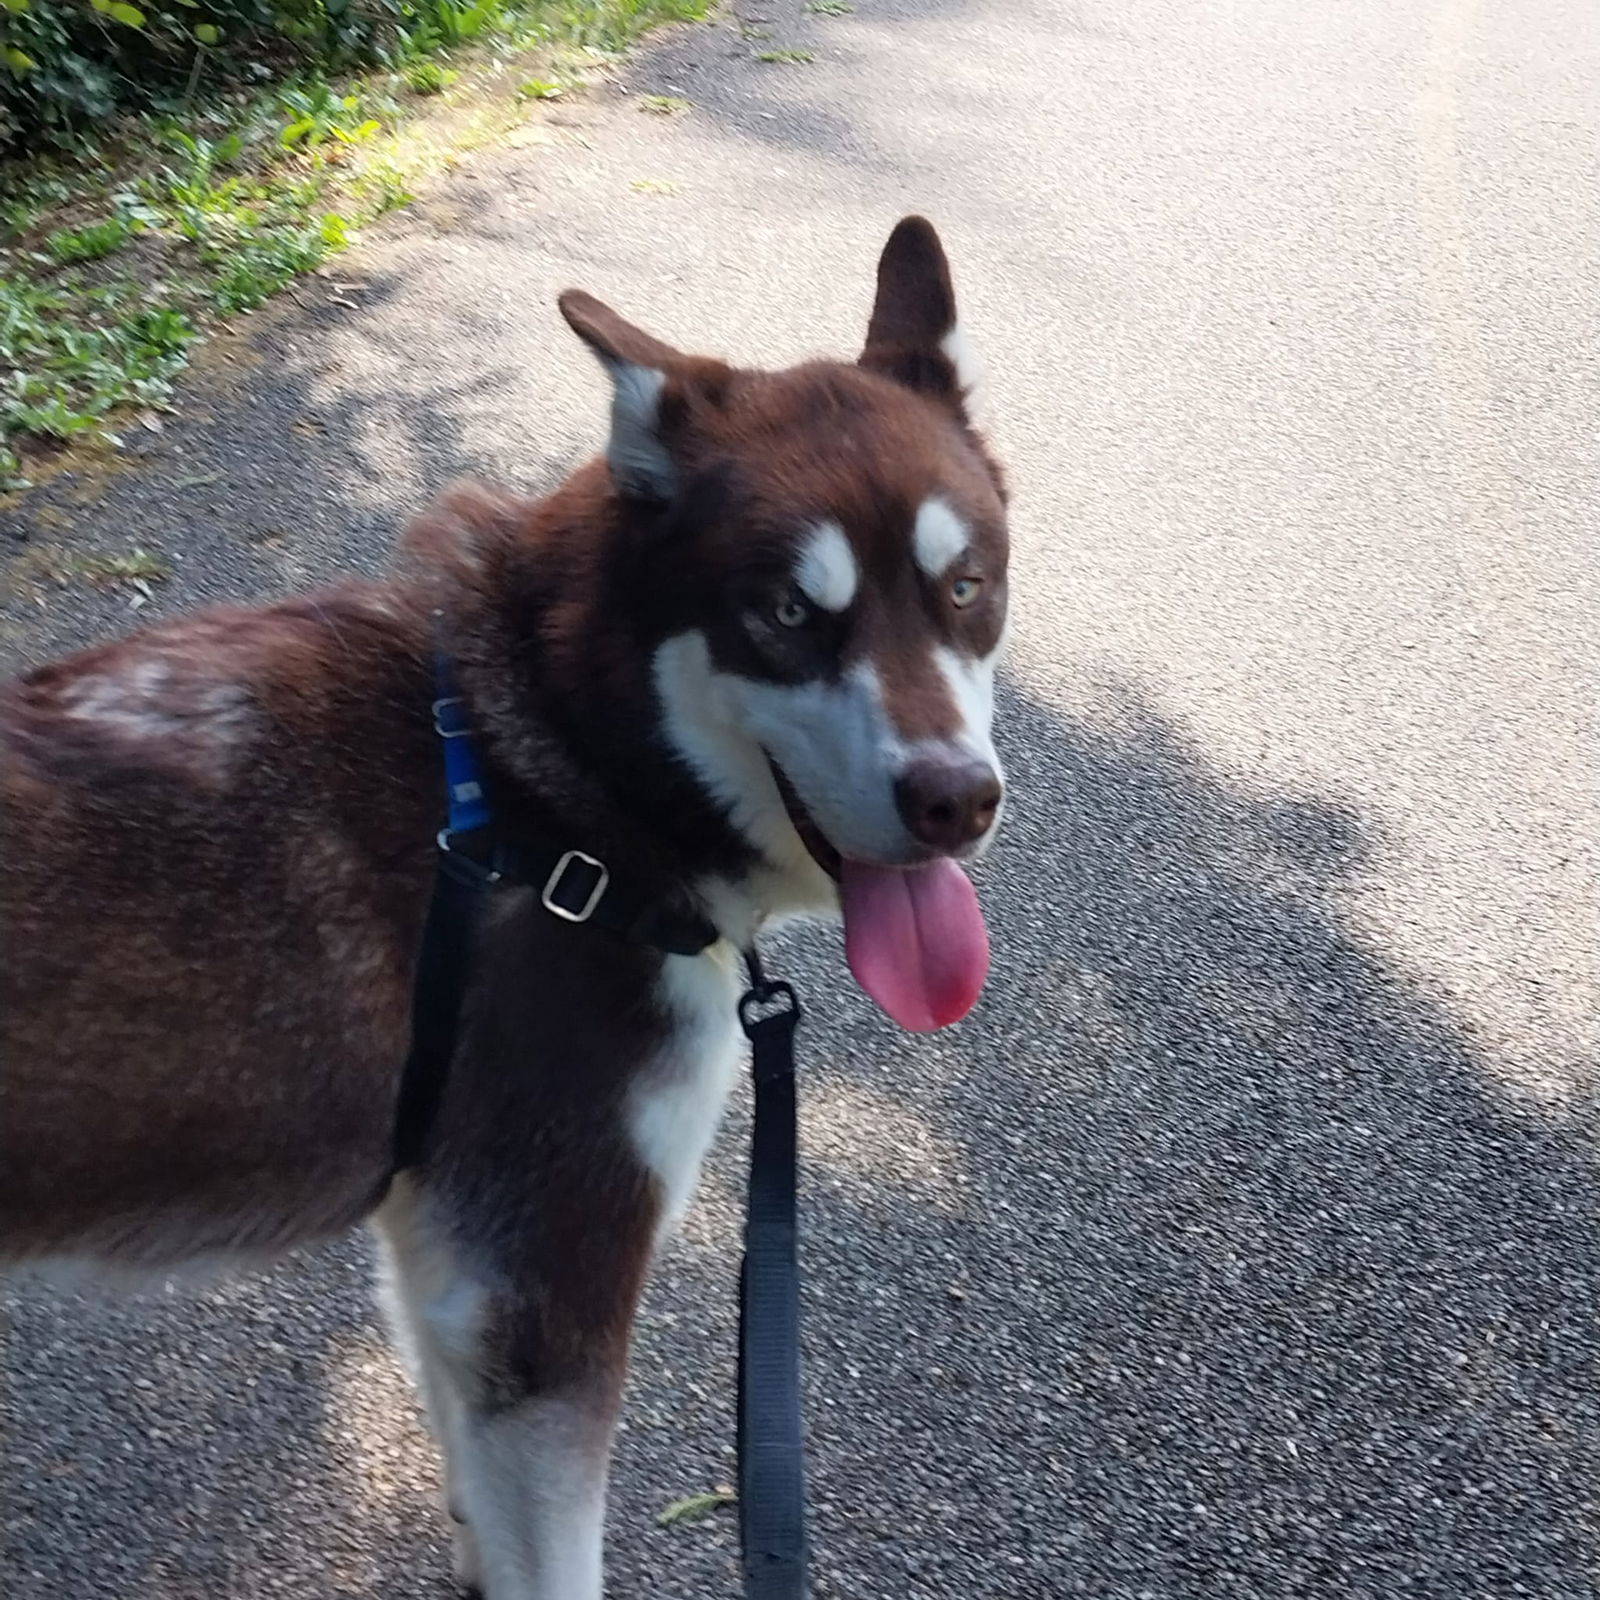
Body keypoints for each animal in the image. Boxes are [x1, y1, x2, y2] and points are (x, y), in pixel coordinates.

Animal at [0, 216, 1011, 1600]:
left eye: (963, 588)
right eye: (786, 613)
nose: (958, 800)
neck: (554, 773)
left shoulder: (449, 1267)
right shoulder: (544, 1287)